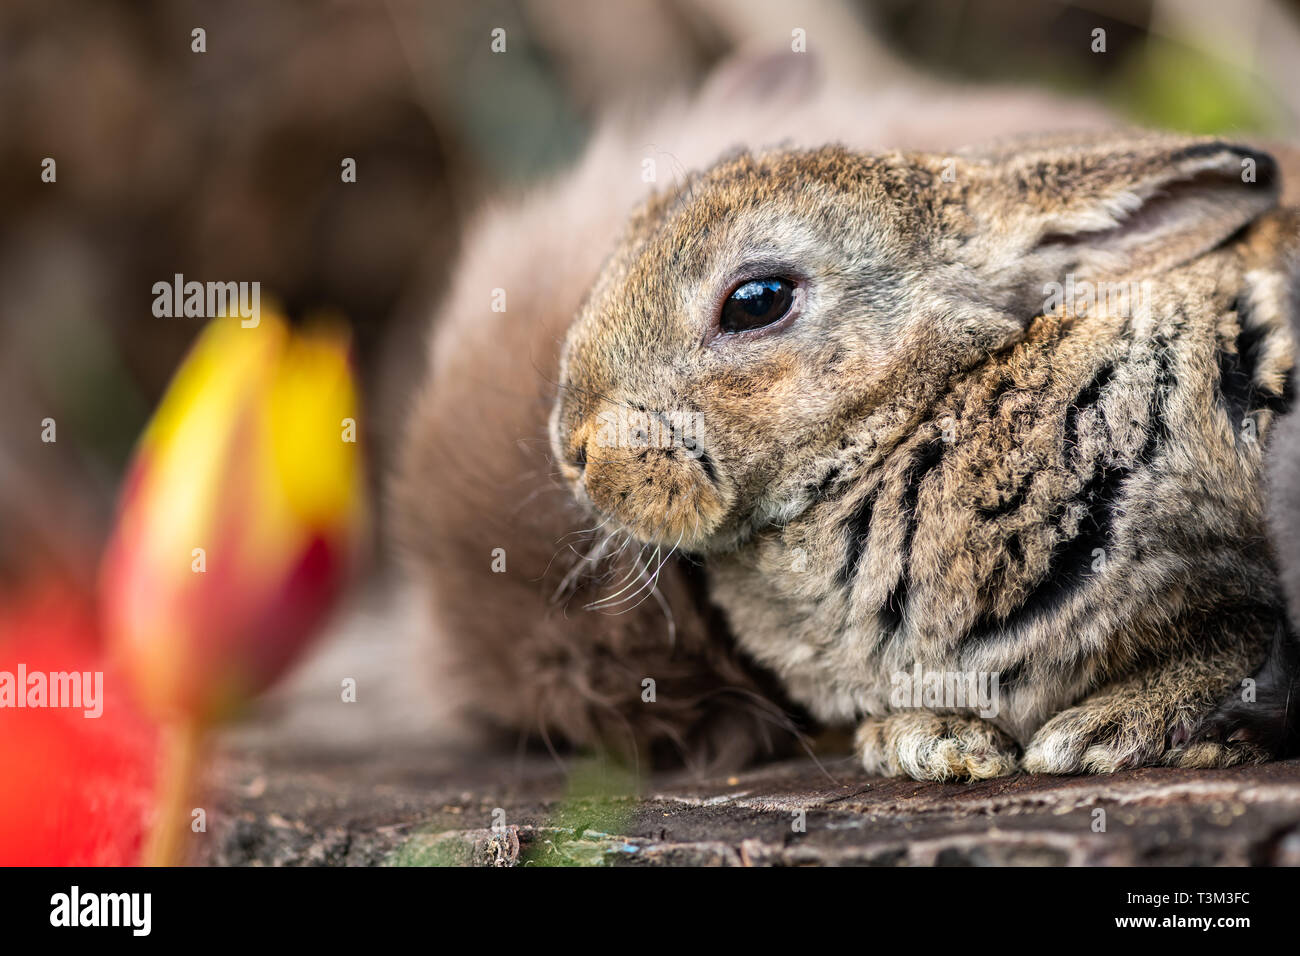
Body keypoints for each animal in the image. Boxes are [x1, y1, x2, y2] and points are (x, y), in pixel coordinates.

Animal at [549, 129, 1300, 780]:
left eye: (756, 302)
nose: (573, 449)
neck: (924, 416)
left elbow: (1239, 644)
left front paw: (1103, 733)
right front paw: (927, 742)